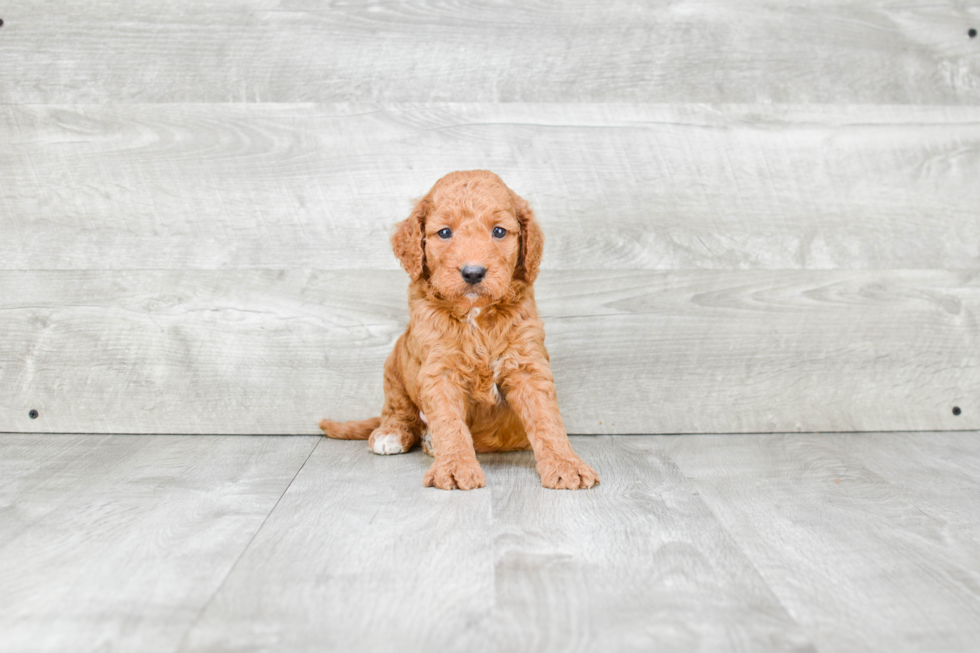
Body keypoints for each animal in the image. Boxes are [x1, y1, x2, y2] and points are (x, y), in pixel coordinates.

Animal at [322, 168, 596, 488]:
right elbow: (449, 422)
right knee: (398, 408)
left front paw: (566, 464)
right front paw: (454, 467)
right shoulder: (439, 369)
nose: (473, 273)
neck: (474, 315)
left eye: (499, 231)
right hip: (395, 363)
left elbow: (546, 418)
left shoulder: (527, 363)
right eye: (444, 233)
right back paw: (393, 433)